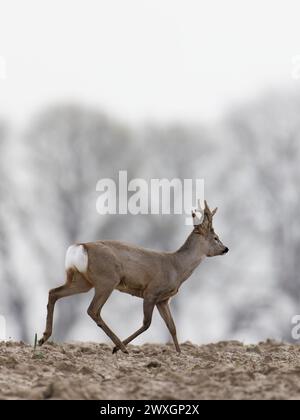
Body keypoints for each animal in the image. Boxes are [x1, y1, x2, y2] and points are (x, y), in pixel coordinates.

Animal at [38, 202, 229, 352]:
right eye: (215, 237)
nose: (226, 248)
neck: (176, 267)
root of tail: (81, 247)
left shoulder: (163, 300)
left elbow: (172, 327)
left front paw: (179, 354)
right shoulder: (151, 292)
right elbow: (146, 323)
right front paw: (117, 348)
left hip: (82, 281)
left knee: (54, 292)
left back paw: (43, 338)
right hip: (107, 280)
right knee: (93, 310)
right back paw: (121, 347)